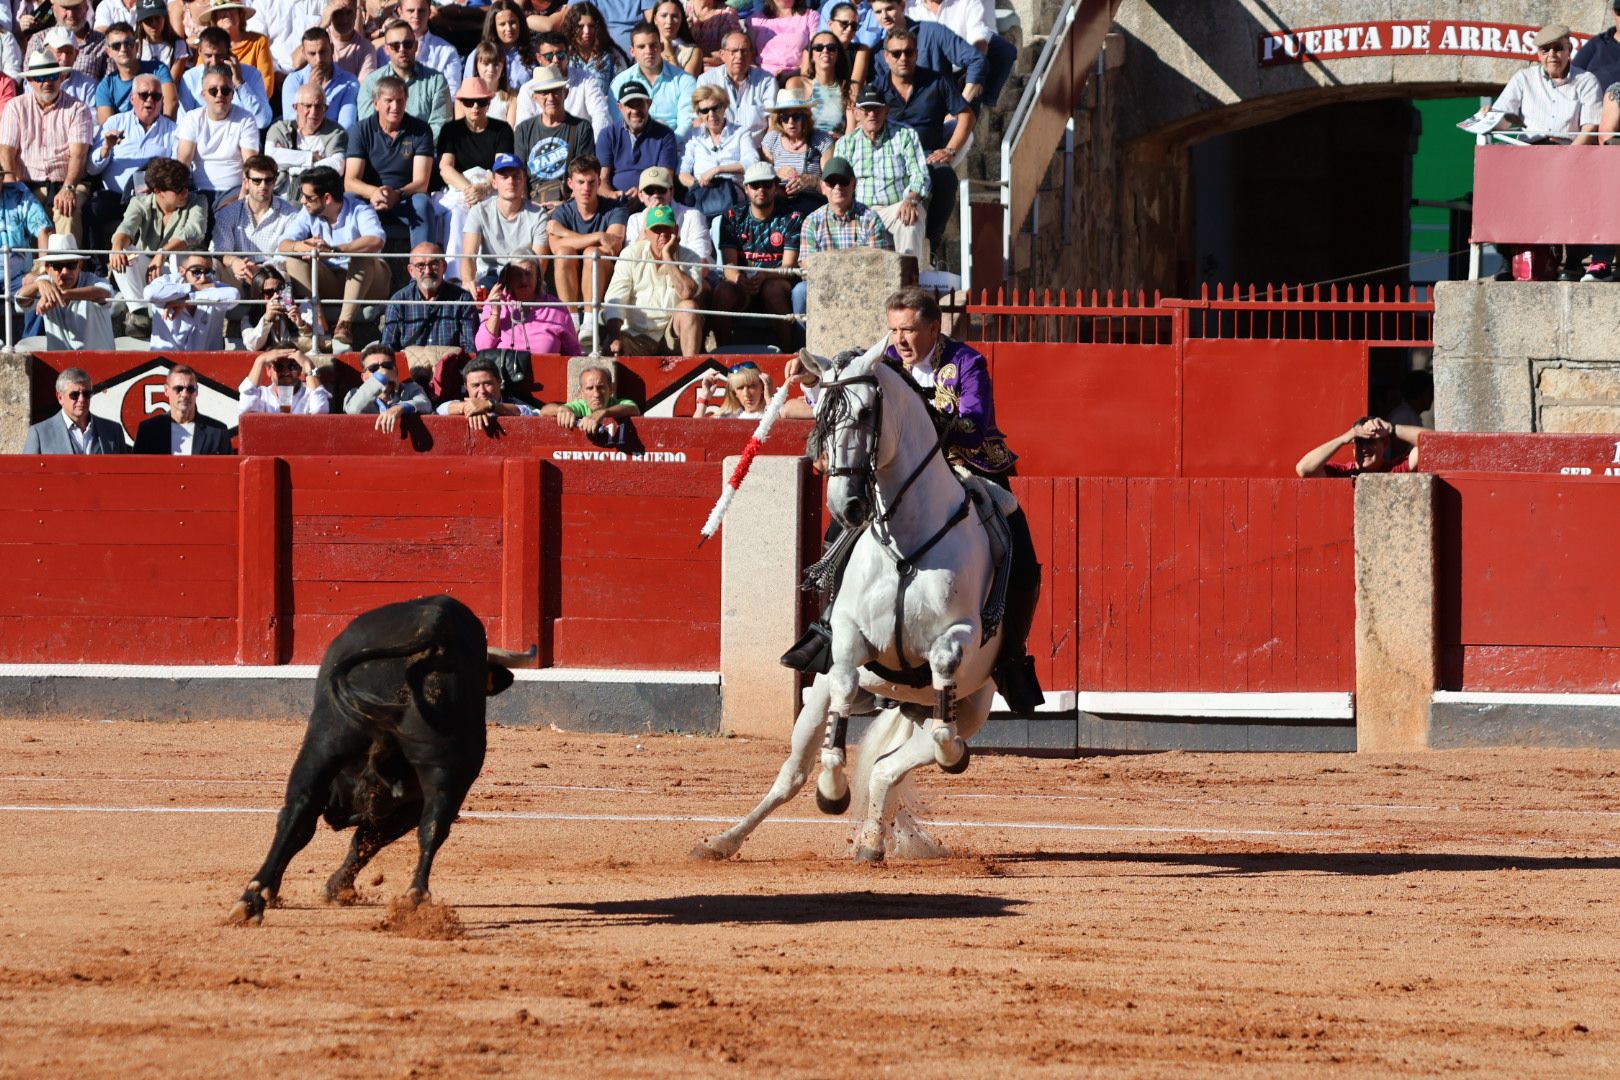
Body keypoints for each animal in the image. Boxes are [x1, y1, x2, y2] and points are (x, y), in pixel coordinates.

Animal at [230, 595, 537, 926]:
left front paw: (327, 888)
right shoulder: (407, 804)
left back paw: (251, 899)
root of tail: (438, 616)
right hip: (447, 768)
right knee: (433, 824)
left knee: (298, 810)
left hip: (326, 740)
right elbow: (368, 839)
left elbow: (358, 839)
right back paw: (414, 898)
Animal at [690, 338, 1004, 861]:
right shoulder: (849, 637)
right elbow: (841, 680)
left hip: (973, 705)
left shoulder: (961, 632)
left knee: (889, 766)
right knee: (793, 773)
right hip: (820, 699)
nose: (846, 505)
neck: (905, 544)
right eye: (821, 419)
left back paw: (876, 836)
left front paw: (950, 753)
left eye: (864, 414)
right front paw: (832, 788)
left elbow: (943, 675)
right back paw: (722, 840)